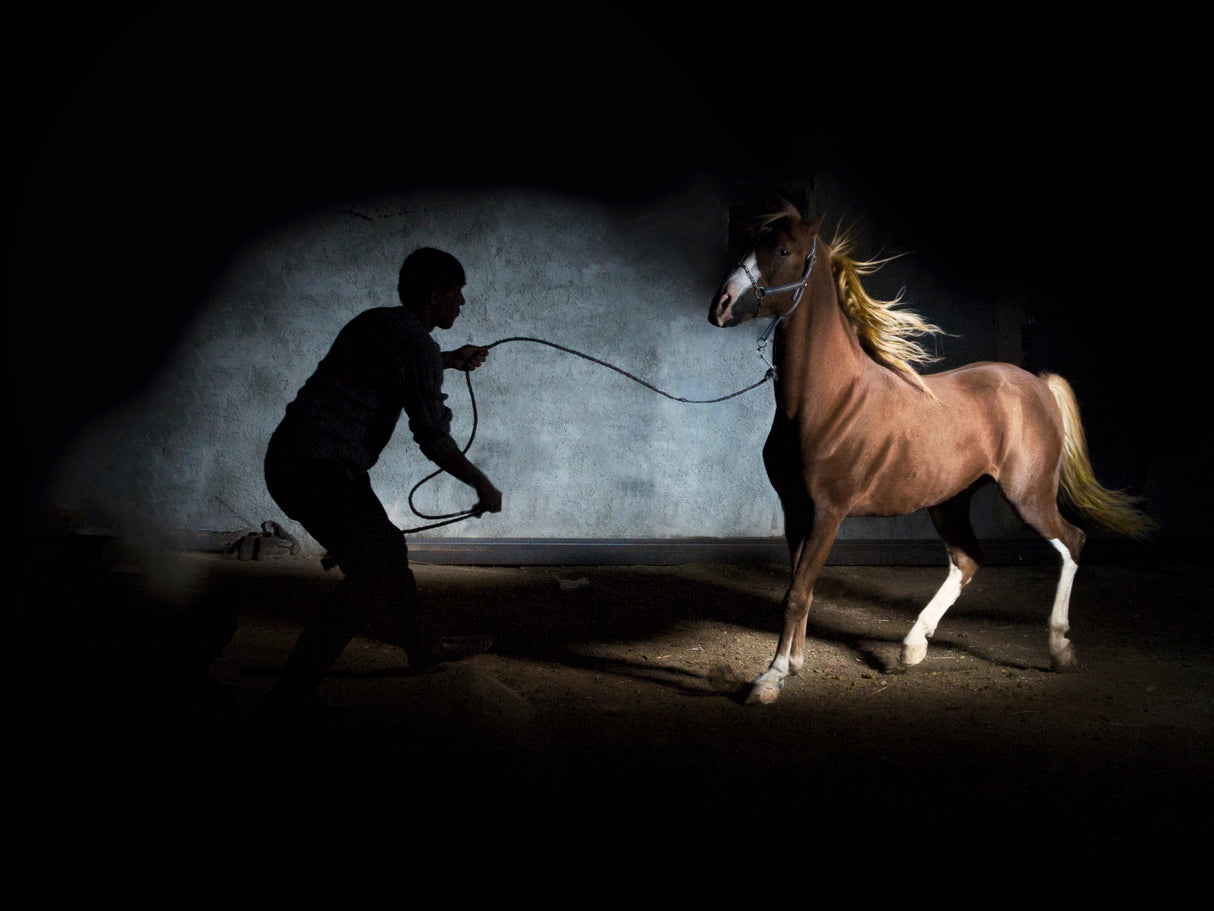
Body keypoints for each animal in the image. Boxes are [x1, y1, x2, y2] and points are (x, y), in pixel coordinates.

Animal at [708, 202, 1156, 705]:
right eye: (748, 242)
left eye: (783, 249)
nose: (720, 306)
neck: (829, 400)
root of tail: (1039, 384)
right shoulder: (795, 512)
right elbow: (797, 588)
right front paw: (793, 665)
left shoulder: (828, 512)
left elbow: (797, 594)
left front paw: (772, 677)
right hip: (950, 501)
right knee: (968, 560)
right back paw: (913, 646)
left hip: (1028, 495)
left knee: (1071, 542)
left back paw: (1059, 647)